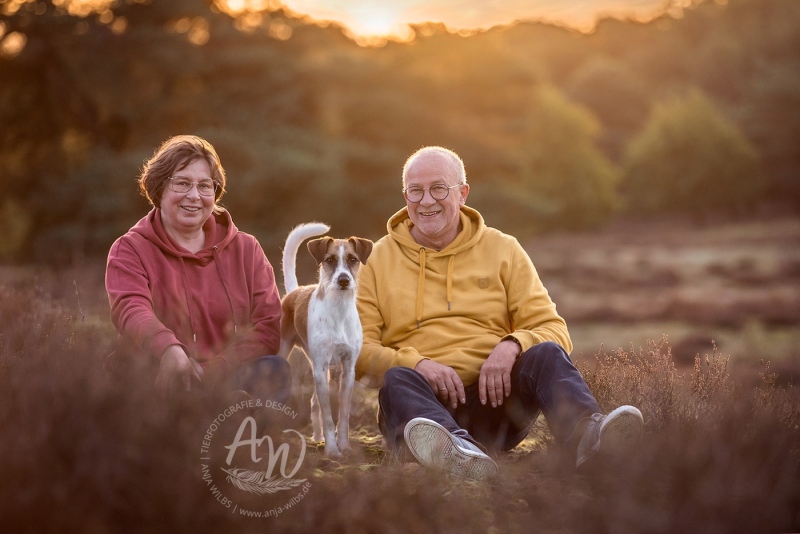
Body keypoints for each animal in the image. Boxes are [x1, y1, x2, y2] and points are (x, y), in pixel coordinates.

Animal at [276, 224, 374, 458]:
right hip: (291, 355)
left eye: (353, 259)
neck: (338, 310)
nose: (343, 280)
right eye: (329, 260)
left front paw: (344, 446)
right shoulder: (321, 368)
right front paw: (332, 450)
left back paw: (318, 437)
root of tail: (295, 291)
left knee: (313, 403)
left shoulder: (348, 370)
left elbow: (343, 415)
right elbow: (329, 415)